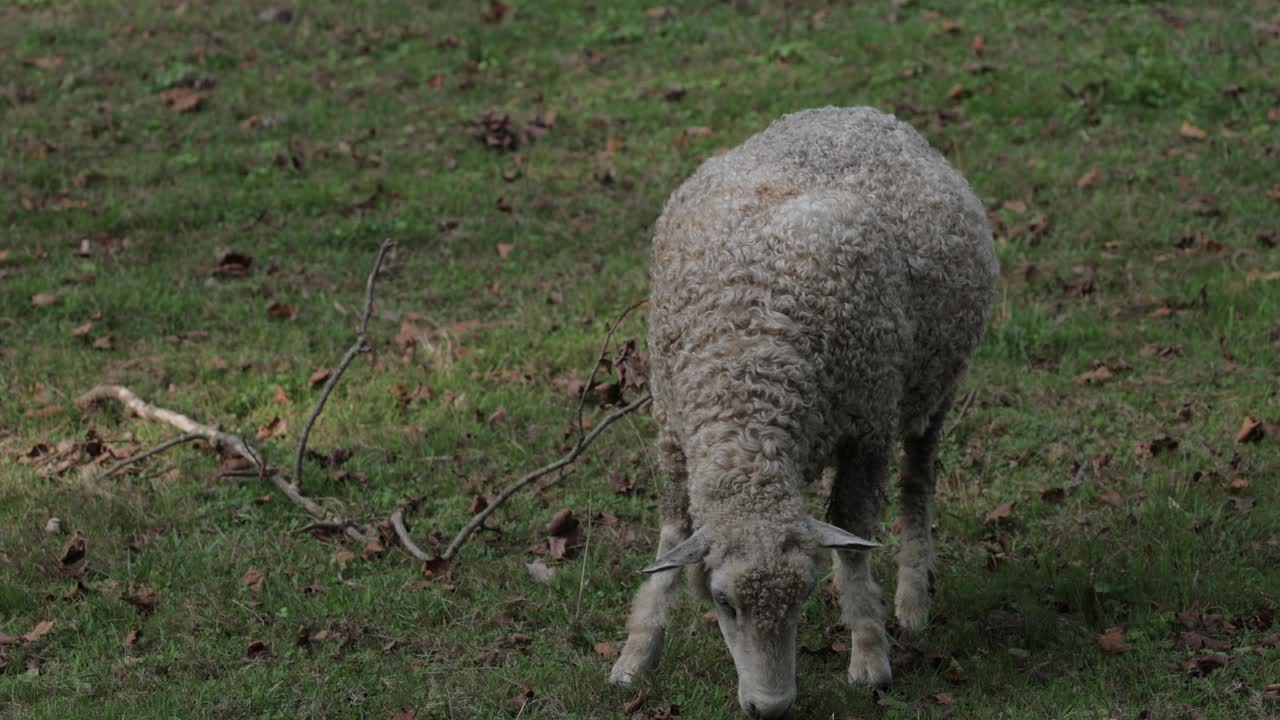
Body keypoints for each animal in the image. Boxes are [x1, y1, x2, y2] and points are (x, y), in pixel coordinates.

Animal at [609, 103, 998, 712]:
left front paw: (869, 654)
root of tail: (859, 111)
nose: (770, 708)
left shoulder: (866, 429)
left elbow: (855, 540)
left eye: (801, 598)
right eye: (723, 602)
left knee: (917, 485)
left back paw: (913, 598)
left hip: (932, 388)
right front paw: (637, 653)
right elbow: (672, 536)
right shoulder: (673, 432)